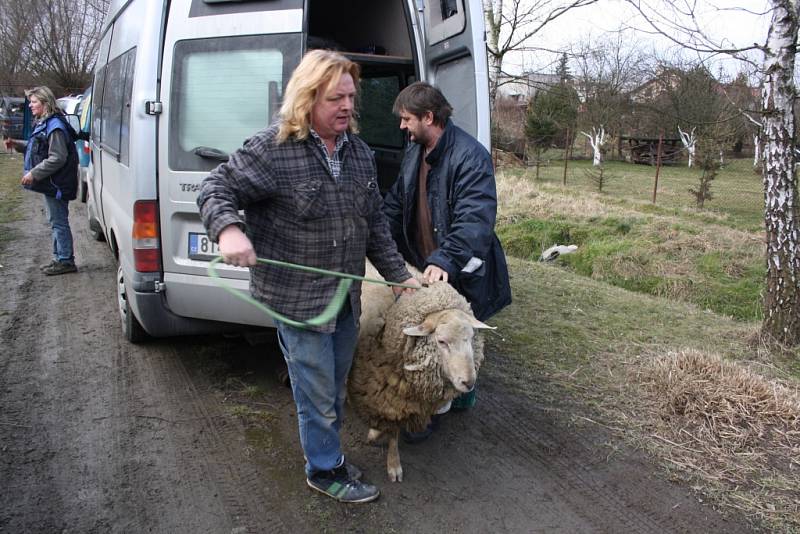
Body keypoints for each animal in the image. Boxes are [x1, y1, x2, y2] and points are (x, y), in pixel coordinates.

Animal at [350, 262, 494, 484]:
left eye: (471, 338)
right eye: (441, 341)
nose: (469, 383)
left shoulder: (397, 397)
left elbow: (391, 430)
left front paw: (387, 452)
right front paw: (389, 457)